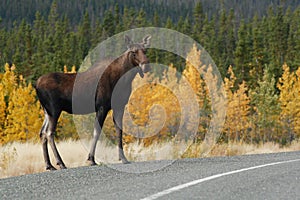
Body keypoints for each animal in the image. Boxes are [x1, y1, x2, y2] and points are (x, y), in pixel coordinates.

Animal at [36, 35, 151, 170]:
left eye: (145, 50)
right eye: (133, 52)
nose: (146, 66)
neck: (124, 79)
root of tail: (36, 85)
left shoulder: (119, 106)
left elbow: (119, 131)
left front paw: (123, 158)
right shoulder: (102, 106)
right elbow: (97, 132)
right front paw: (91, 159)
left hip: (46, 111)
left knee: (42, 133)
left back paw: (49, 165)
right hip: (54, 109)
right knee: (49, 133)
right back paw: (61, 163)